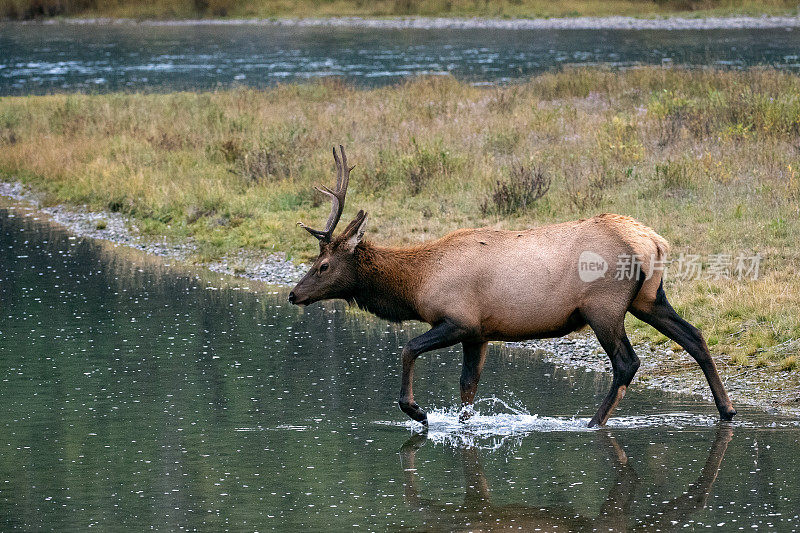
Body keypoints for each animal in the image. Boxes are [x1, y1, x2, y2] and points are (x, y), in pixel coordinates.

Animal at [290, 147, 736, 428]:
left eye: (323, 265)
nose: (294, 293)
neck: (417, 285)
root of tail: (654, 242)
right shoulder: (480, 333)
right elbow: (467, 386)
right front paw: (462, 425)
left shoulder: (458, 320)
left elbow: (408, 348)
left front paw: (418, 412)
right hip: (648, 298)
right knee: (695, 336)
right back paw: (727, 410)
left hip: (604, 306)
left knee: (627, 362)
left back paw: (591, 422)